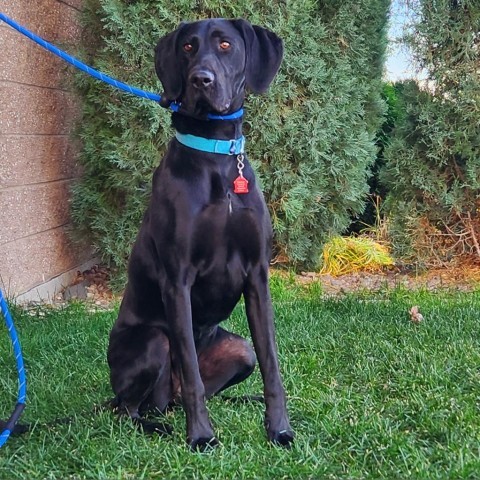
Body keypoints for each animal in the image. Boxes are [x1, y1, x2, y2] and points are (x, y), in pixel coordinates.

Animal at [107, 16, 294, 448]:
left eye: (225, 44)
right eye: (188, 47)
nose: (200, 80)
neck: (216, 155)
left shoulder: (257, 275)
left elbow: (271, 363)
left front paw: (278, 428)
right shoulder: (177, 280)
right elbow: (191, 371)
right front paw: (201, 437)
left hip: (237, 348)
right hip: (152, 342)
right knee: (133, 407)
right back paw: (158, 426)